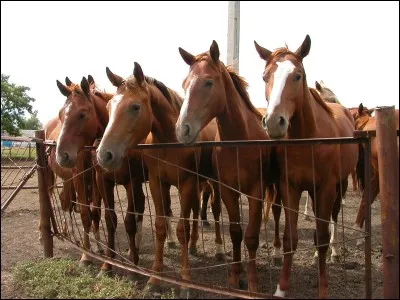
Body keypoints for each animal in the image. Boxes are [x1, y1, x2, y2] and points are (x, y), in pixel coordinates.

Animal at [97, 62, 222, 296]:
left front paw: (185, 282)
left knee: (215, 211)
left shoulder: (186, 183)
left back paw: (219, 249)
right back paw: (193, 246)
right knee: (193, 212)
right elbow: (161, 226)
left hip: (211, 183)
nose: (104, 155)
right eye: (109, 106)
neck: (169, 141)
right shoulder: (157, 183)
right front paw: (155, 279)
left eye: (135, 107)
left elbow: (181, 229)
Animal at [177, 40, 280, 292]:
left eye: (208, 82)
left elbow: (251, 236)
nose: (183, 129)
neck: (239, 142)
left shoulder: (255, 191)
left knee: (276, 212)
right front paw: (235, 276)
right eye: (184, 84)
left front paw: (252, 283)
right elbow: (235, 232)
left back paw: (276, 253)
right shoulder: (227, 191)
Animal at [256, 34, 360, 296]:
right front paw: (281, 289)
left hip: (339, 186)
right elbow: (290, 239)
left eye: (297, 75)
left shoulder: (326, 188)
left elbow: (322, 237)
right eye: (265, 76)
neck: (308, 140)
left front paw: (323, 289)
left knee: (333, 218)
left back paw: (334, 252)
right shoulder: (289, 188)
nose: (274, 122)